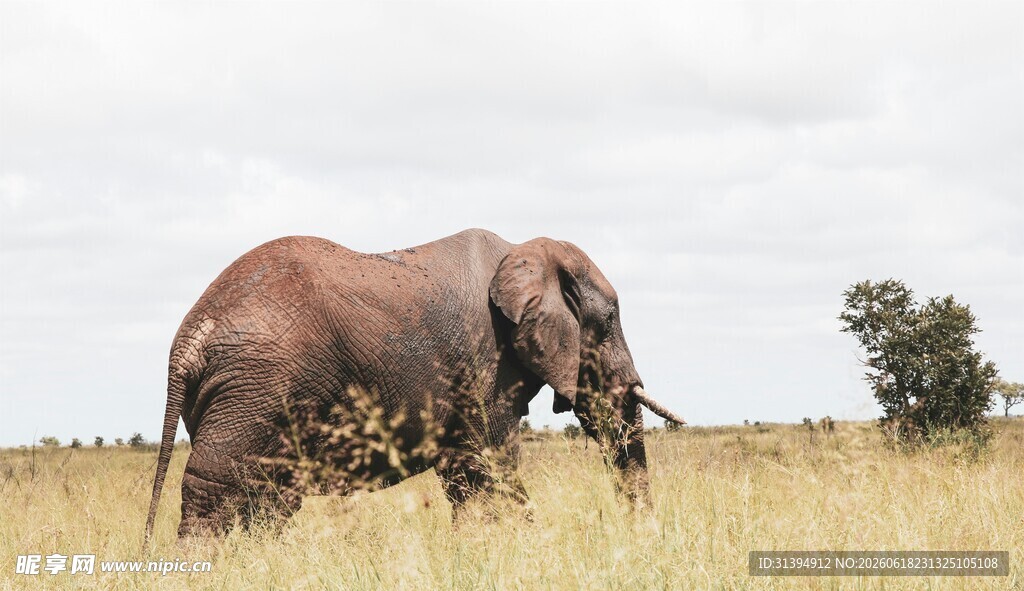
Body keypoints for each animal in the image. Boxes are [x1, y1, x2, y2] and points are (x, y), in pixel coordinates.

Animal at [145, 228, 684, 539]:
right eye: (609, 321)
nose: (642, 536)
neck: (522, 253)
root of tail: (189, 340)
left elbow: (465, 473)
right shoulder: (484, 361)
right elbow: (489, 463)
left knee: (267, 497)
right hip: (255, 387)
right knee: (218, 488)